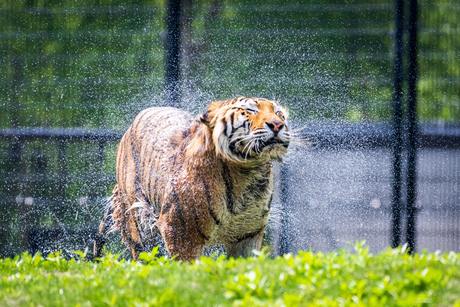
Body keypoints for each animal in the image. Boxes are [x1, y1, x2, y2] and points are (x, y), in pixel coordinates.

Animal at [92, 97, 292, 262]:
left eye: (278, 113)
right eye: (251, 110)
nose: (277, 125)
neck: (248, 172)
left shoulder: (247, 234)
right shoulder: (180, 230)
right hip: (138, 223)